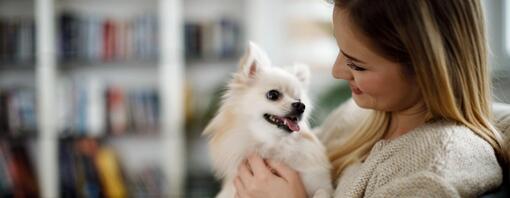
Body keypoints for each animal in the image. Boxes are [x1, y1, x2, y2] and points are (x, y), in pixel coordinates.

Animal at [201, 42, 332, 198]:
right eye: (273, 94)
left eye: (299, 99)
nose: (301, 106)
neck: (273, 145)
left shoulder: (319, 183)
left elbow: (322, 191)